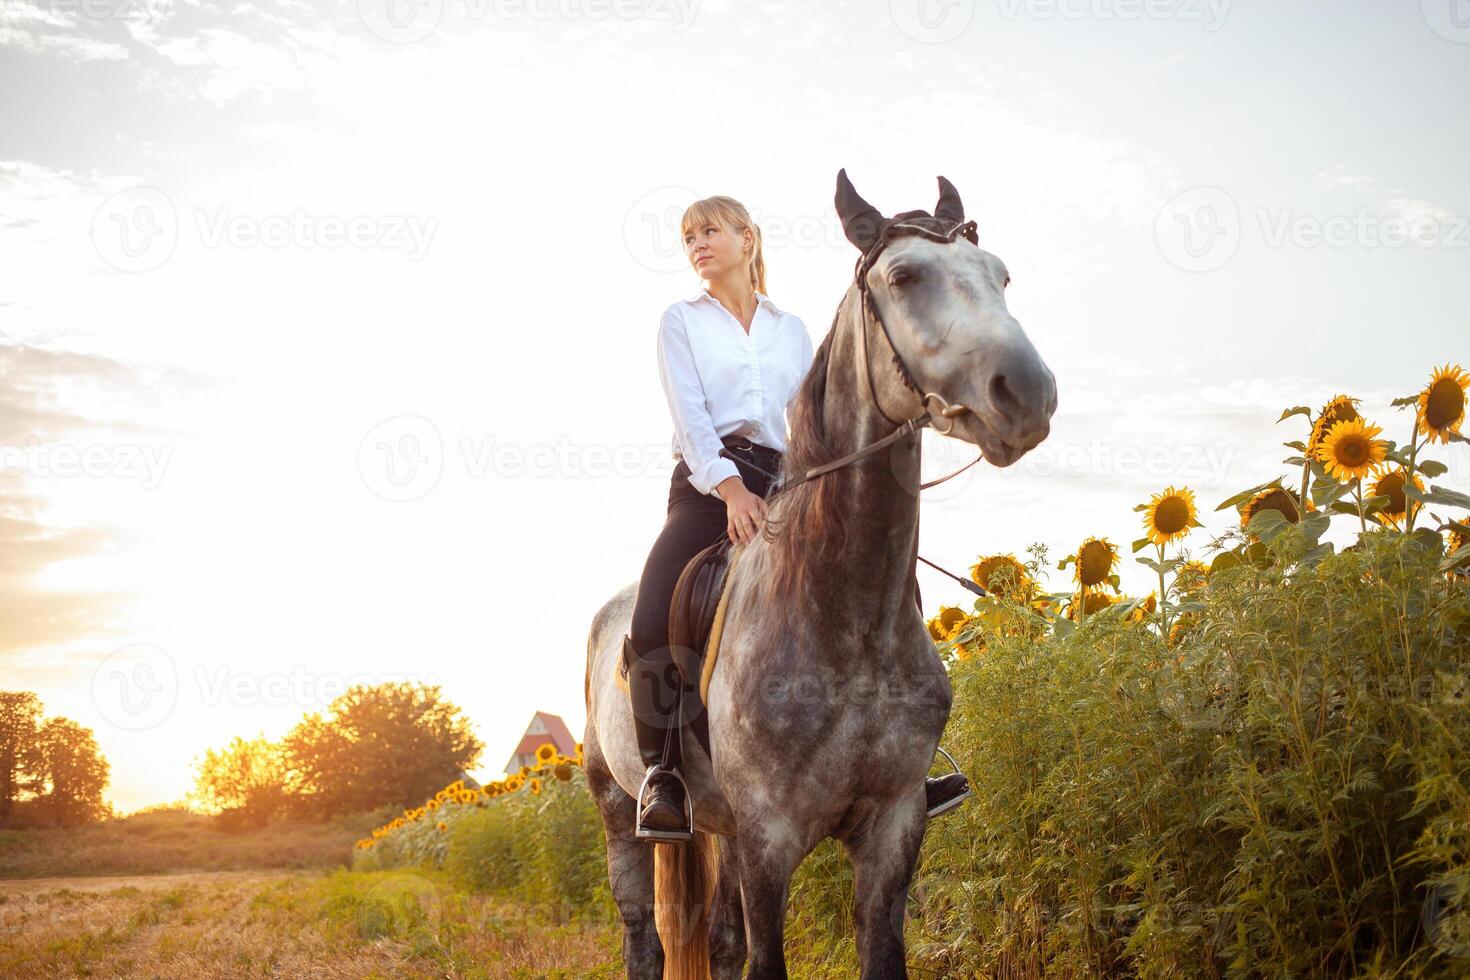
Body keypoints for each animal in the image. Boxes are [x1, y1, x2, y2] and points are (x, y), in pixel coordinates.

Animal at [585, 170, 1058, 980]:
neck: (848, 615)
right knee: (643, 934)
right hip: (622, 812)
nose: (1026, 394)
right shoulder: (769, 838)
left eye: (1000, 275)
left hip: (722, 827)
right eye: (903, 277)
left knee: (716, 940)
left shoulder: (893, 829)